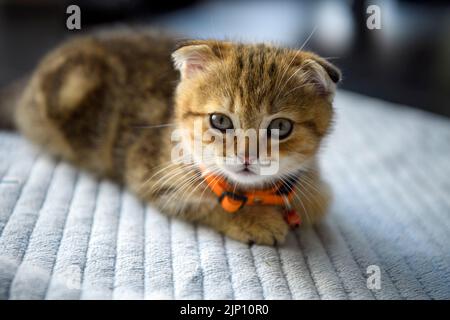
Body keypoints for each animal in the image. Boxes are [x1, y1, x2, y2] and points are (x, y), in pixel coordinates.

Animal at [10, 30, 340, 245]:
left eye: (281, 127)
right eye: (220, 121)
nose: (246, 155)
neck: (257, 192)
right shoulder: (149, 174)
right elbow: (206, 204)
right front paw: (256, 219)